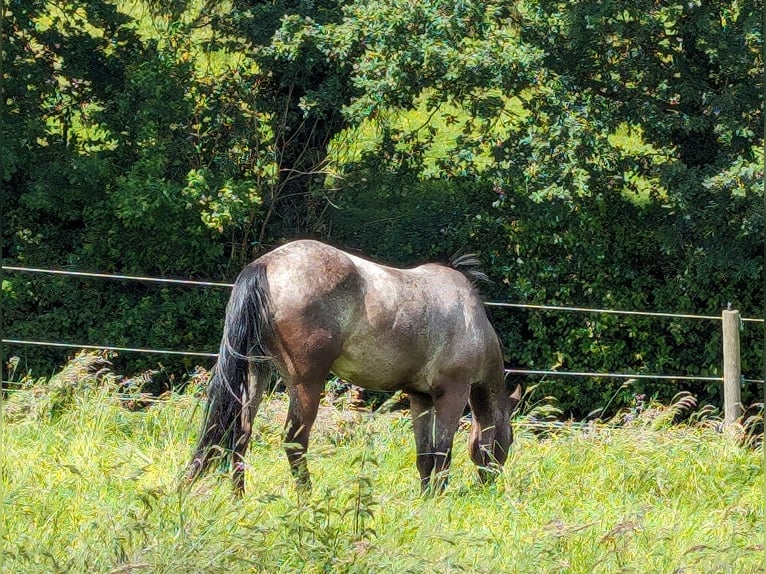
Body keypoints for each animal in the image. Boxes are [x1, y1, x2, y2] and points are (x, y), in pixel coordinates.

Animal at [186, 238, 520, 496]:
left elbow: (424, 455)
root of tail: (265, 266)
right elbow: (442, 451)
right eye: (510, 439)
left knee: (240, 433)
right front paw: (437, 497)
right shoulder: (452, 392)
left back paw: (237, 497)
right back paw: (307, 499)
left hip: (257, 372)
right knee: (294, 441)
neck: (472, 321)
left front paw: (425, 498)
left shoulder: (421, 397)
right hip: (306, 384)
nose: (490, 484)